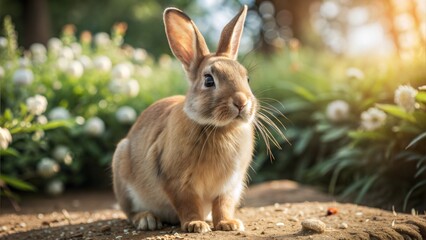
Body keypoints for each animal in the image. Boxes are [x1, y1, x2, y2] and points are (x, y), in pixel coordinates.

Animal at [110, 4, 256, 233]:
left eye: (247, 78)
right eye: (208, 80)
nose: (241, 102)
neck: (218, 127)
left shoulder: (229, 185)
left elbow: (223, 204)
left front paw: (229, 224)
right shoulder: (177, 182)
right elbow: (188, 204)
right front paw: (195, 225)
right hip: (122, 174)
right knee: (130, 213)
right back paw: (147, 220)